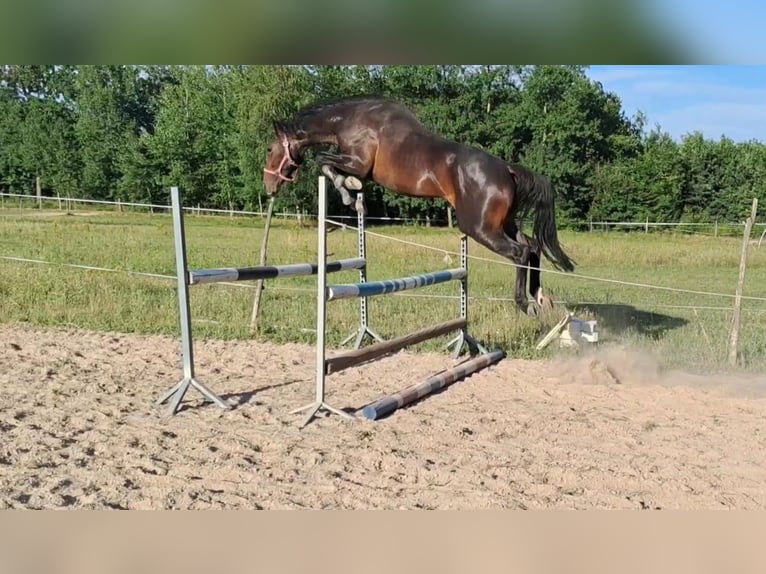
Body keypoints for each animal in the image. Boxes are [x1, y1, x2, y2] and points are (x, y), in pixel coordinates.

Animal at [264, 97, 576, 318]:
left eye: (269, 149)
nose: (269, 185)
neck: (350, 121)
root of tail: (507, 169)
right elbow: (328, 164)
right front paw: (351, 192)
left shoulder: (358, 162)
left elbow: (324, 162)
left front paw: (347, 192)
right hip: (502, 223)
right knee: (532, 245)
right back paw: (540, 296)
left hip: (479, 227)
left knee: (520, 251)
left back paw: (525, 303)